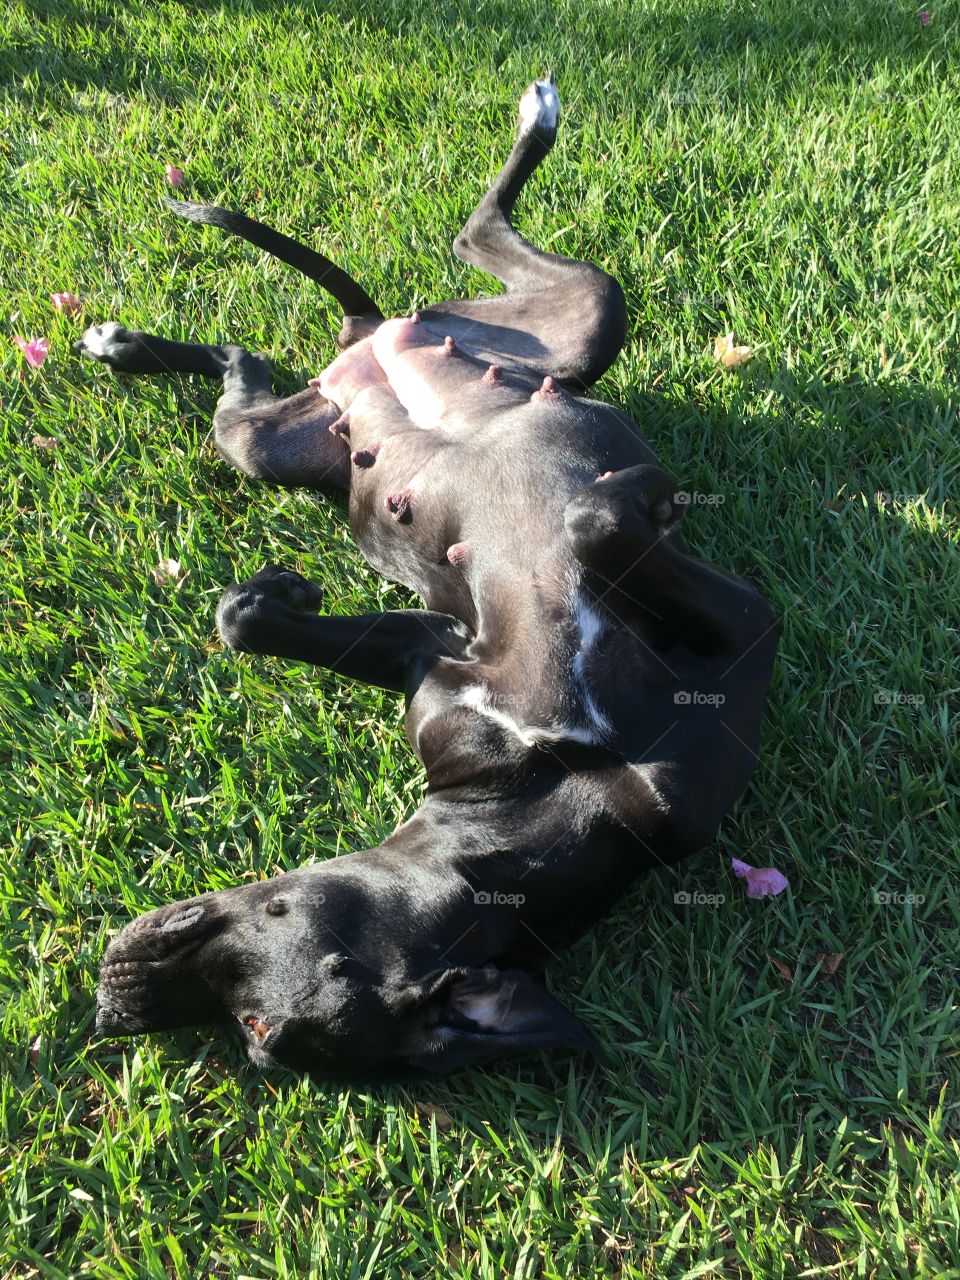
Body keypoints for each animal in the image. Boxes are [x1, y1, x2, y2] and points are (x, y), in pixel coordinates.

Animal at [86, 80, 783, 1075]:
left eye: (256, 1033)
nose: (114, 999)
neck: (545, 772)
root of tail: (368, 339)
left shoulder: (730, 646)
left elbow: (596, 519)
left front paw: (640, 496)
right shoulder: (436, 662)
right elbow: (246, 621)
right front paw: (277, 595)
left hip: (542, 334)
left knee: (394, 278)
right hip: (301, 431)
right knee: (277, 339)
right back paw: (128, 347)